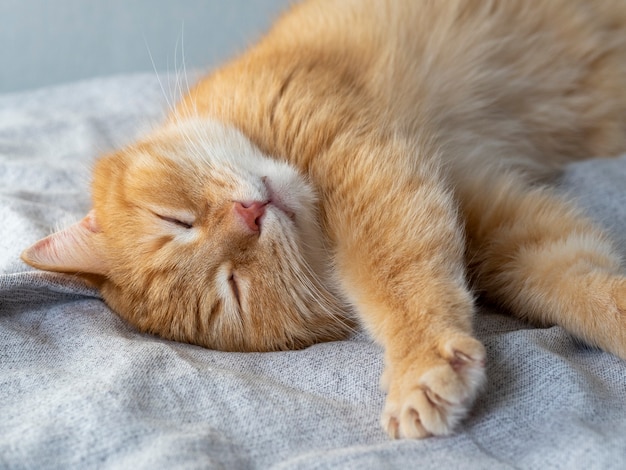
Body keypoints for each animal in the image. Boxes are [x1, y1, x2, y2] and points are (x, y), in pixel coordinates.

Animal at [19, 0, 624, 440]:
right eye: (235, 289)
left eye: (176, 220)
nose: (250, 214)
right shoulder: (496, 218)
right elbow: (568, 282)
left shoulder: (361, 164)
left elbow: (392, 279)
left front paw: (418, 362)